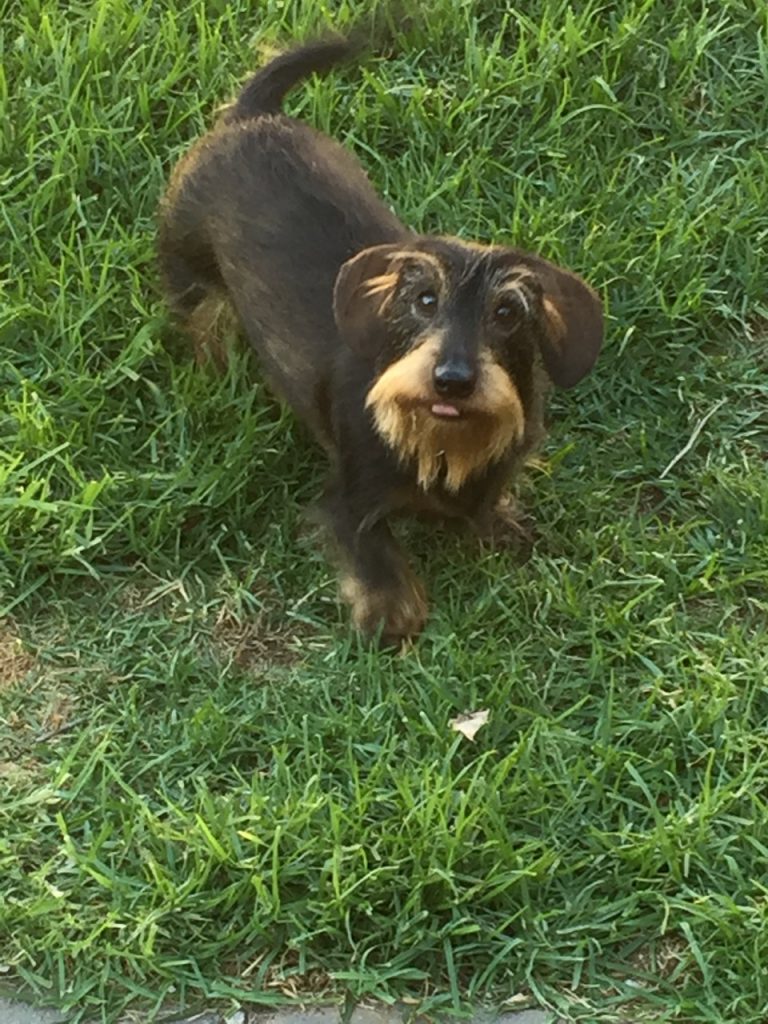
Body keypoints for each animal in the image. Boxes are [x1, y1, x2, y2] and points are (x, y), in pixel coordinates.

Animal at [159, 36, 606, 647]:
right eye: (424, 300)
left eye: (507, 313)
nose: (452, 380)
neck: (440, 442)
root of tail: (253, 115)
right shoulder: (348, 494)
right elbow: (370, 548)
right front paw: (393, 611)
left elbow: (486, 504)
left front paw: (501, 526)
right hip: (187, 260)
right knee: (201, 317)